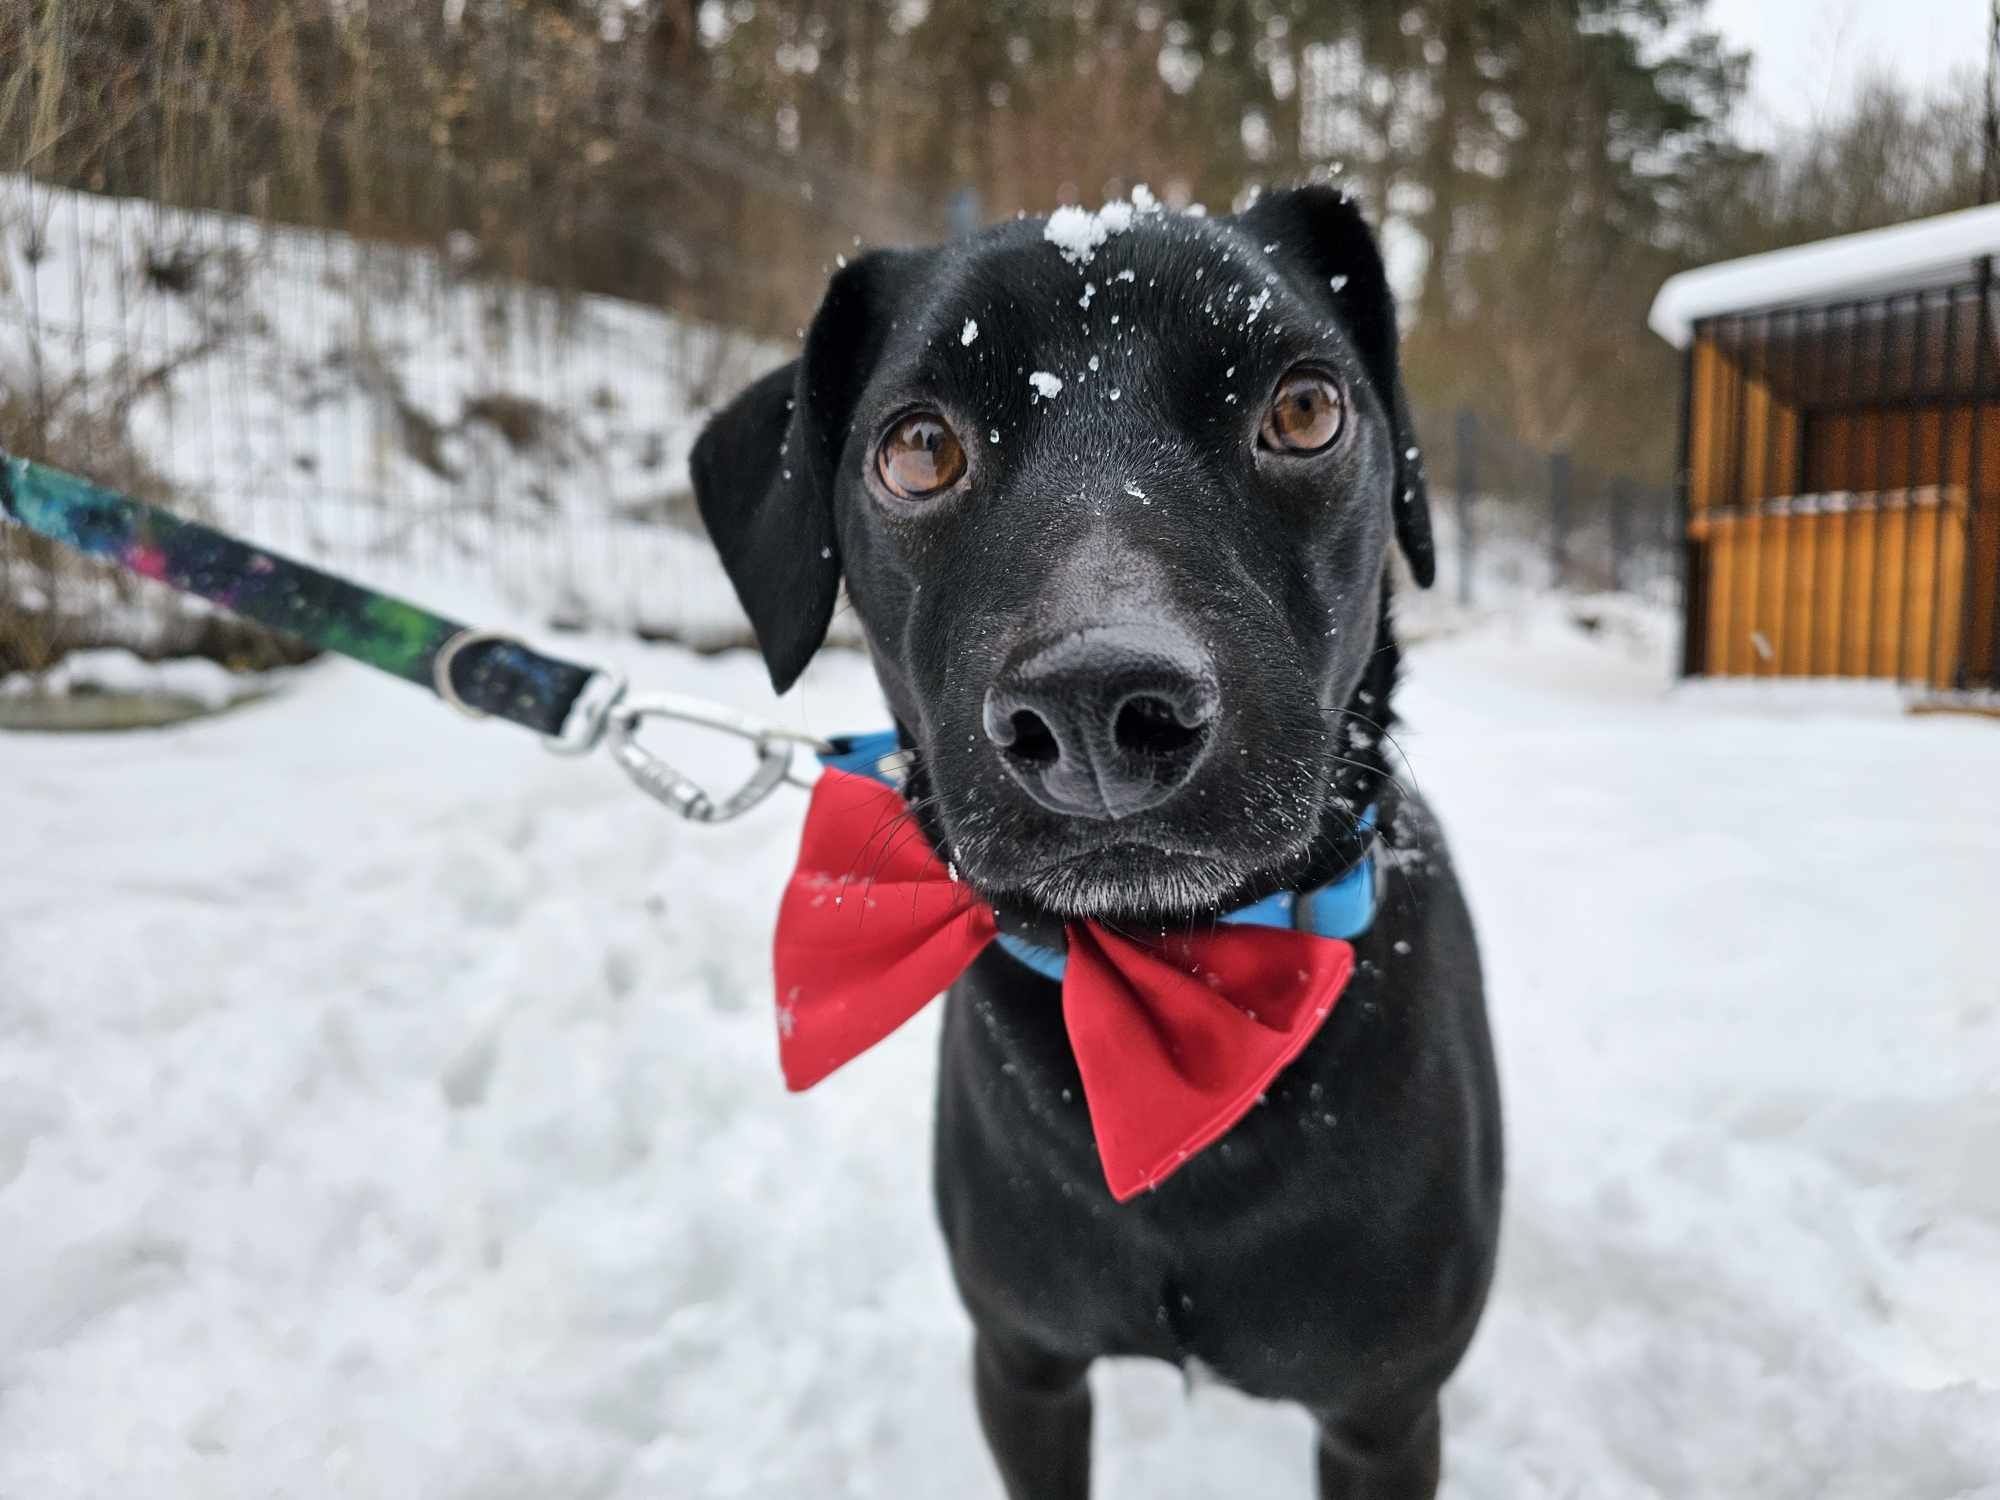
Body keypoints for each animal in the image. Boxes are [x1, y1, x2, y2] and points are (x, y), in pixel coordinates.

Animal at [696, 182, 1496, 1496]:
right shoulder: (1020, 1362)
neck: (1163, 981)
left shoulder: (1382, 1415)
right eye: (917, 448)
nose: (1096, 708)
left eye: (1304, 408)